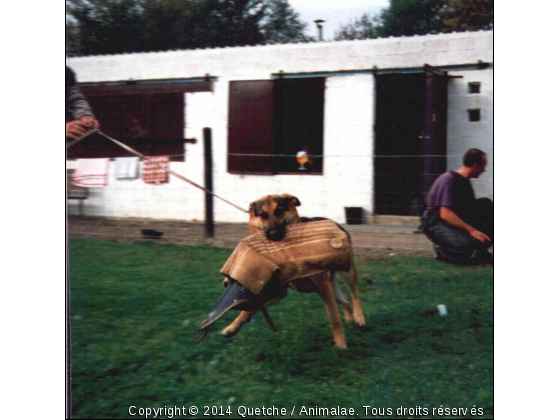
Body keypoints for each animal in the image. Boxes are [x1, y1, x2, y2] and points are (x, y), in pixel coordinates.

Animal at [221, 194, 366, 348]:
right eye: (263, 215)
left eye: (279, 211)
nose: (274, 234)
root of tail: (334, 222)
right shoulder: (277, 291)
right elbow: (248, 310)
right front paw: (232, 327)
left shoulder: (323, 287)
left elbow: (334, 317)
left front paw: (341, 345)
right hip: (331, 288)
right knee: (345, 300)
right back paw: (350, 318)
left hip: (346, 273)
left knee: (354, 293)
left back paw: (359, 317)